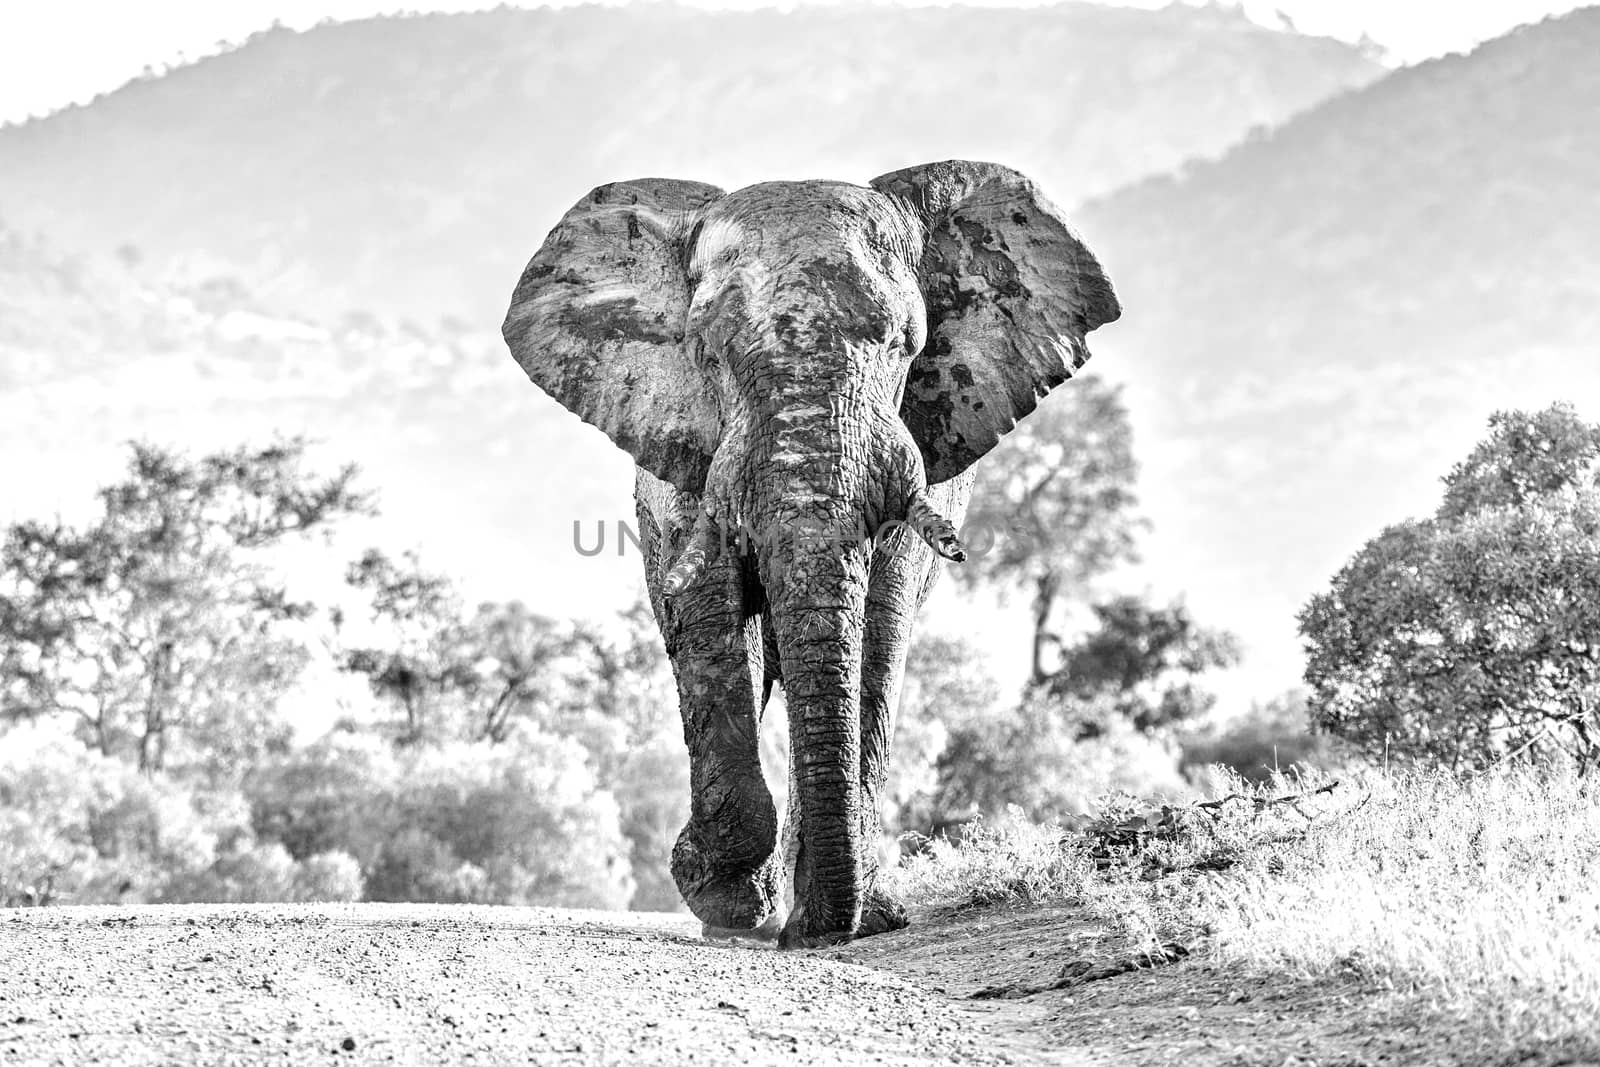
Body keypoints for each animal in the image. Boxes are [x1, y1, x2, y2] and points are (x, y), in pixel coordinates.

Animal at [505, 156, 1120, 940]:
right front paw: (726, 896)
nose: (821, 925)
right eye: (706, 349)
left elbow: (877, 633)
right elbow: (712, 626)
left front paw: (850, 919)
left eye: (906, 345)